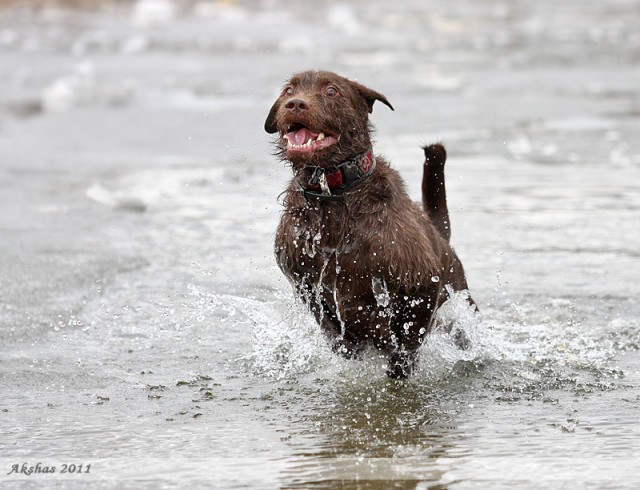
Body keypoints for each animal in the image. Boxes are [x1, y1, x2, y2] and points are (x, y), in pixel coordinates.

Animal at [262, 70, 472, 378]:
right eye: (289, 90)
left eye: (332, 91)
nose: (296, 104)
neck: (333, 193)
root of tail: (440, 234)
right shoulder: (304, 283)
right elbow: (334, 327)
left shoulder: (421, 282)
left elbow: (407, 338)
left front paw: (399, 365)